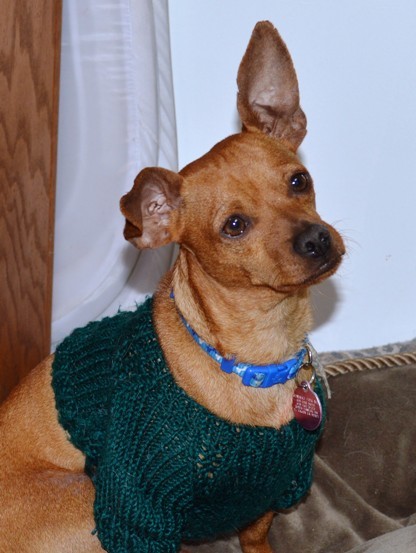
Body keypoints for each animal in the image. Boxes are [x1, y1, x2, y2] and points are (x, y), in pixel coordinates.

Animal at [0, 21, 344, 552]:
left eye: (298, 181)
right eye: (234, 225)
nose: (316, 239)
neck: (256, 360)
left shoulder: (272, 492)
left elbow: (257, 538)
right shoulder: (138, 513)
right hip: (85, 495)